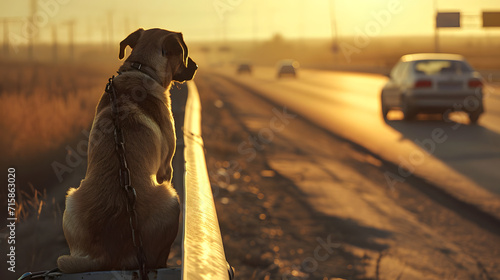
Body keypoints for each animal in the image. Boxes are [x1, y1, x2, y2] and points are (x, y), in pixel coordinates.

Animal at [58, 29, 197, 274]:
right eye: (185, 55)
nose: (196, 66)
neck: (142, 68)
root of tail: (107, 254)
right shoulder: (166, 168)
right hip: (171, 200)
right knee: (157, 257)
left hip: (71, 201)